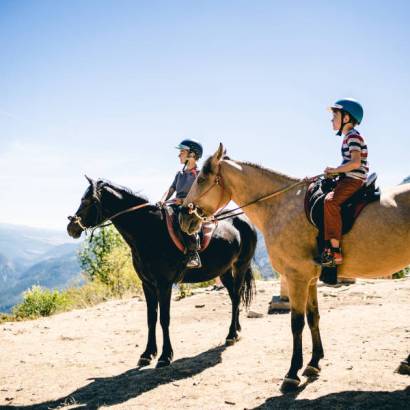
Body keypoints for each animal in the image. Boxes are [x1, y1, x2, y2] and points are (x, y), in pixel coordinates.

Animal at [69, 178, 258, 366]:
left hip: (240, 266)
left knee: (237, 296)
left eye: (88, 201)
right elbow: (151, 318)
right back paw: (236, 329)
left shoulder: (164, 285)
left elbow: (164, 319)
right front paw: (148, 353)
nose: (71, 227)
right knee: (234, 297)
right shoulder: (147, 285)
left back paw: (232, 334)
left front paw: (165, 355)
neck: (150, 231)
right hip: (224, 271)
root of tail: (244, 219)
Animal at [179, 144, 410, 390]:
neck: (281, 205)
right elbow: (313, 317)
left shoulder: (296, 277)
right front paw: (314, 363)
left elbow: (296, 323)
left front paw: (292, 373)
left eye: (201, 178)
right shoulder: (309, 279)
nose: (184, 217)